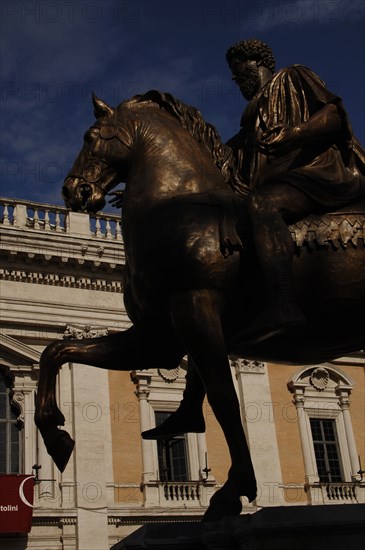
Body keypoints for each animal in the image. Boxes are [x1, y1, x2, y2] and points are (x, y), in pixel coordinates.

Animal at [34, 90, 364, 520]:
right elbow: (55, 352)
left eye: (90, 137)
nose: (73, 192)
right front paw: (56, 435)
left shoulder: (194, 312)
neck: (177, 205)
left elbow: (224, 398)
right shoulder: (157, 336)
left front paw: (236, 488)